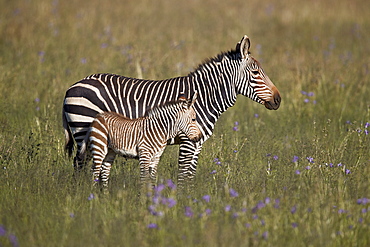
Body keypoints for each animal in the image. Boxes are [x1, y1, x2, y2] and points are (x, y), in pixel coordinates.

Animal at [63, 34, 280, 181]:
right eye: (255, 73)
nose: (278, 100)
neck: (204, 98)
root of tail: (72, 86)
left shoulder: (198, 142)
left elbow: (190, 175)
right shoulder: (187, 141)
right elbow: (183, 175)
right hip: (85, 129)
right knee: (80, 164)